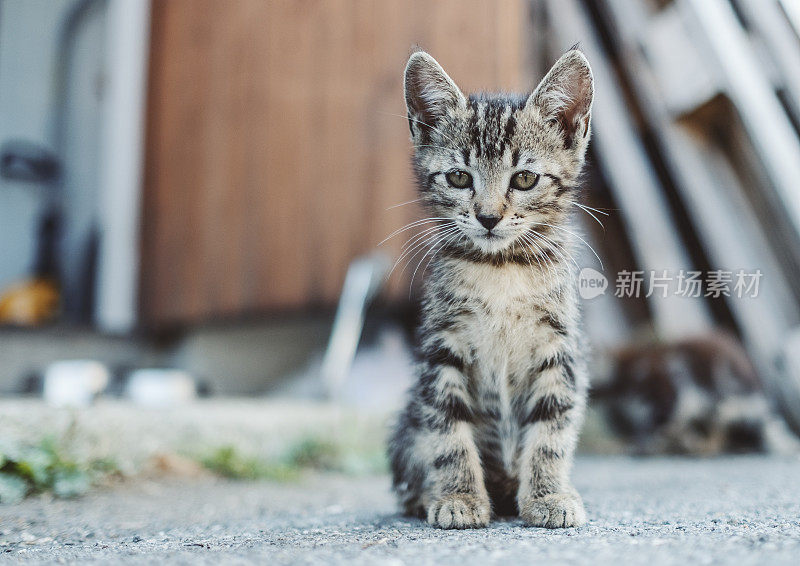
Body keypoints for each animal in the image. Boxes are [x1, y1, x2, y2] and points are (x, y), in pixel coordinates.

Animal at [388, 50, 592, 532]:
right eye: (460, 178)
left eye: (525, 179)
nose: (487, 217)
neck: (501, 268)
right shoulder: (441, 350)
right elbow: (447, 430)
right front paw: (459, 497)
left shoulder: (560, 348)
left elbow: (552, 429)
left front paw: (549, 495)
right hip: (406, 424)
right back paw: (427, 495)